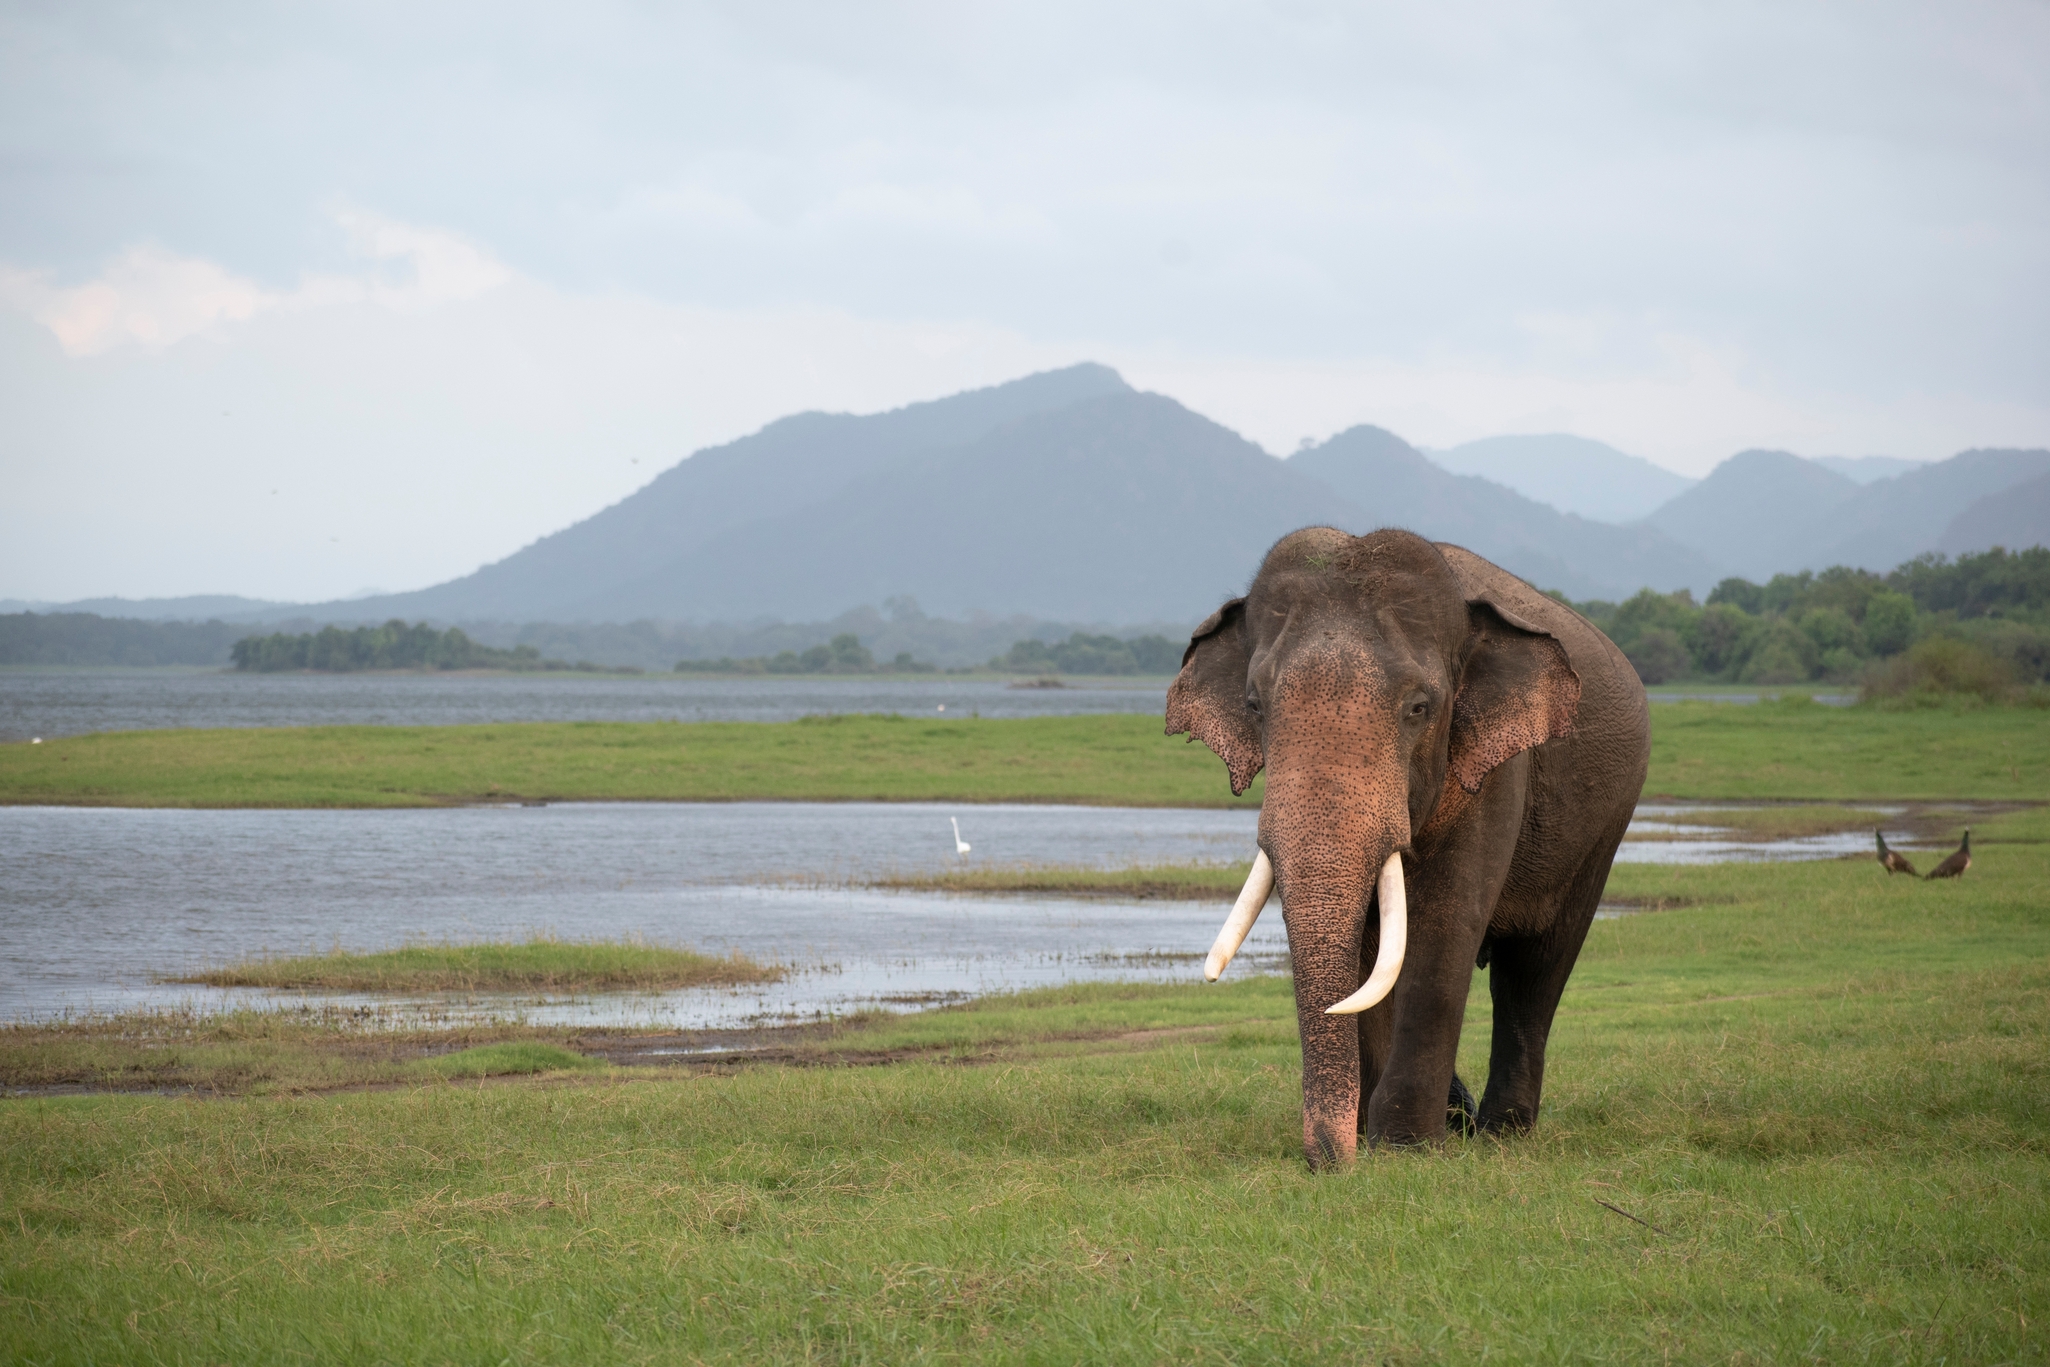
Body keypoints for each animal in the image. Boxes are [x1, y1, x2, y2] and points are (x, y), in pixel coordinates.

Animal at [1166, 527, 1649, 1168]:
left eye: (1419, 708)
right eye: (1253, 705)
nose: (1330, 1164)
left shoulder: (1495, 770)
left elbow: (1443, 927)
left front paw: (1406, 1148)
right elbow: (1371, 954)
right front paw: (1380, 1144)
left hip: (1601, 831)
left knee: (1536, 969)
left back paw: (1501, 1133)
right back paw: (1464, 1119)